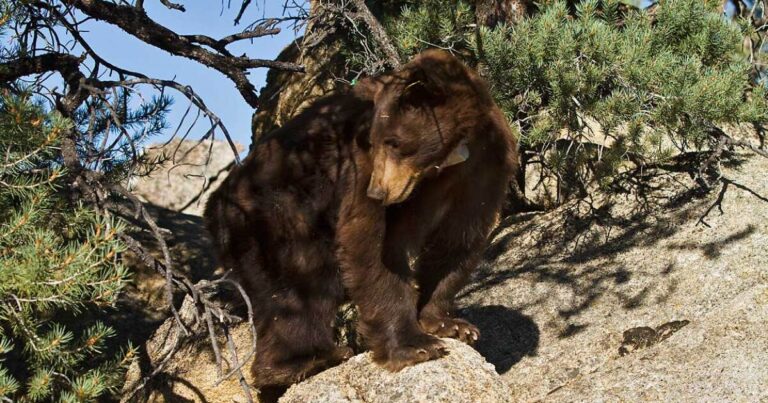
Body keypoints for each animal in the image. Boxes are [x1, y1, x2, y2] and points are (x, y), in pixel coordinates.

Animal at [203, 49, 518, 394]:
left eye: (394, 141)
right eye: (375, 141)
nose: (377, 191)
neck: (444, 163)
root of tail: (213, 209)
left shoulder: (485, 164)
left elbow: (458, 241)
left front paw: (450, 323)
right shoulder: (359, 168)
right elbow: (372, 245)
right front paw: (415, 345)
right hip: (275, 214)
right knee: (301, 284)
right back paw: (304, 361)